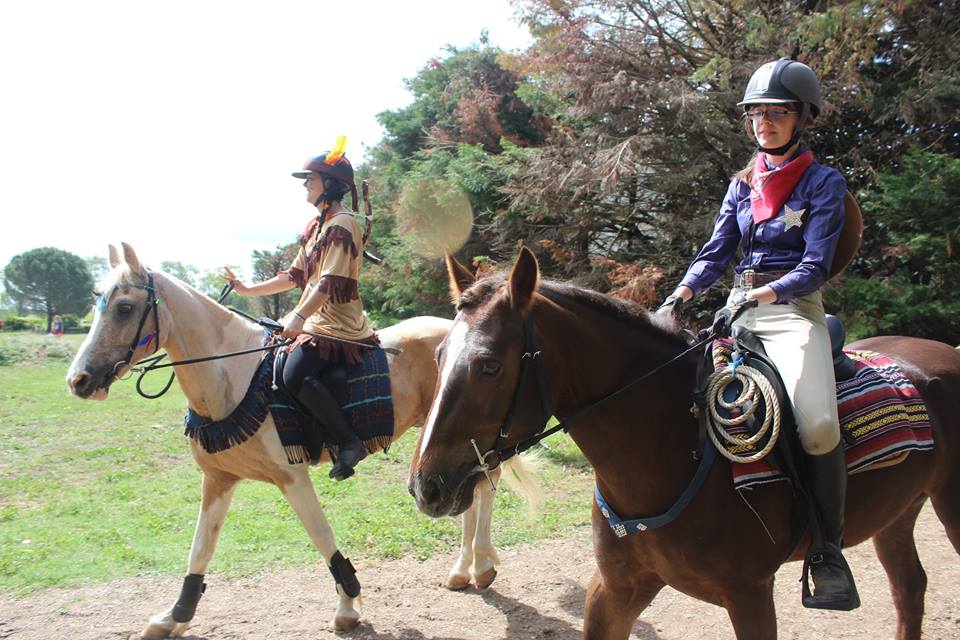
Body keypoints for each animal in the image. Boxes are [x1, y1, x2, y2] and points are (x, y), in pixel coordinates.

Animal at [66, 242, 539, 638]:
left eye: (125, 307)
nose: (79, 380)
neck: (234, 379)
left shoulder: (291, 478)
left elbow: (321, 536)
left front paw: (348, 605)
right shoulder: (217, 480)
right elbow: (199, 550)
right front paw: (174, 616)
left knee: (484, 489)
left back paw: (480, 564)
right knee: (470, 491)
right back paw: (464, 569)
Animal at [410, 247, 960, 640]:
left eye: (489, 365)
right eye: (437, 356)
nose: (425, 486)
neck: (675, 449)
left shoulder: (750, 597)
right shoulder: (615, 590)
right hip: (897, 514)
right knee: (910, 589)